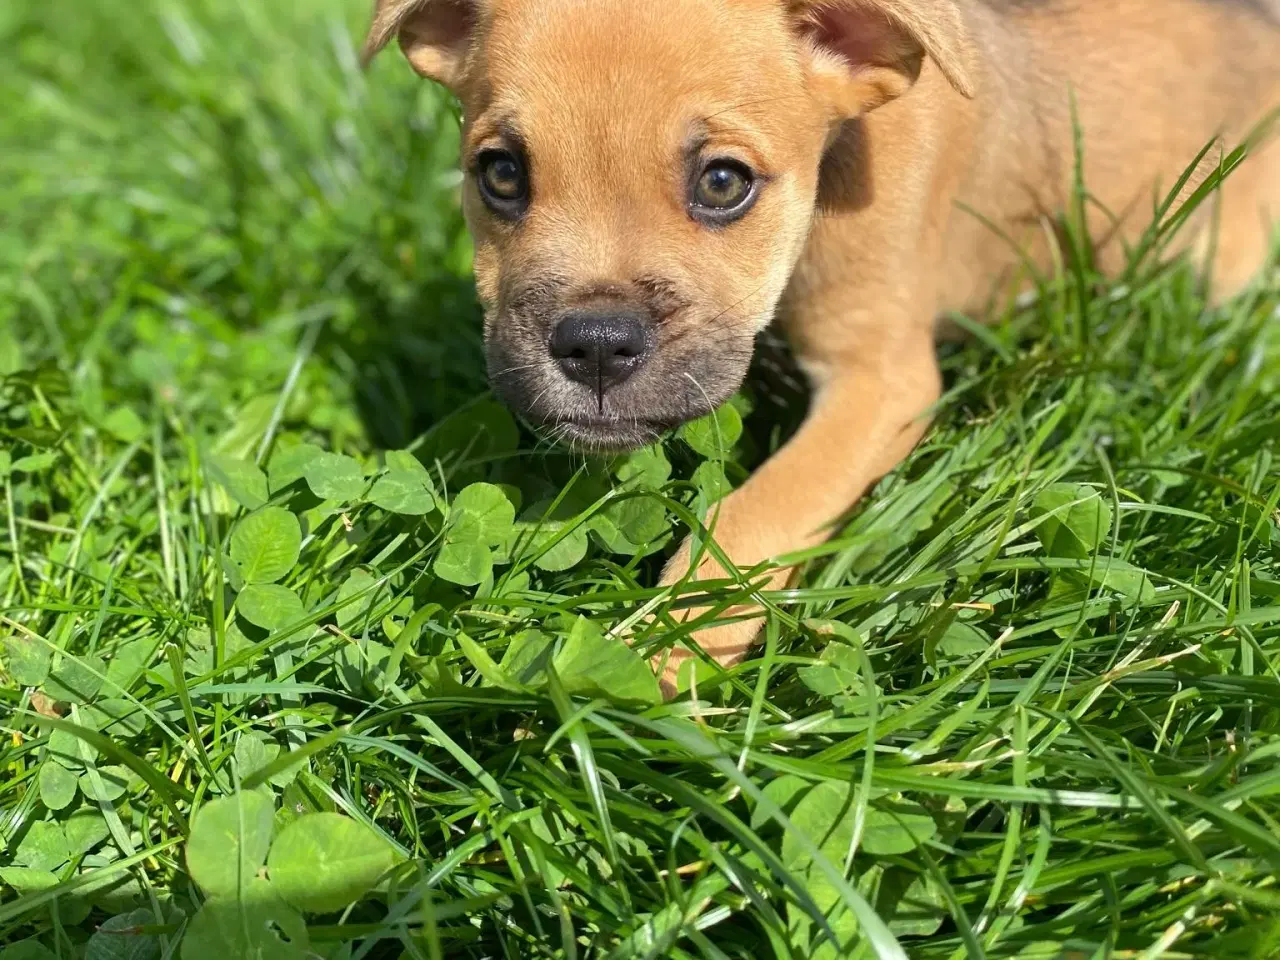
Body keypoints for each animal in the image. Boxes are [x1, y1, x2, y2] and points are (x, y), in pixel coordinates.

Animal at [363, 0, 1280, 696]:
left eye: (723, 182)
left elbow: (757, 510)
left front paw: (659, 654)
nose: (593, 346)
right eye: (500, 174)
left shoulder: (882, 382)